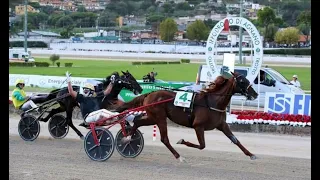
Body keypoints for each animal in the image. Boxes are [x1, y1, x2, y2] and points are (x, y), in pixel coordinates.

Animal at [115, 71, 260, 162]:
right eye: (242, 81)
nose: (255, 94)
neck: (213, 101)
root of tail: (149, 94)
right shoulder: (198, 126)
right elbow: (202, 145)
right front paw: (182, 141)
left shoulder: (221, 125)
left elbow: (235, 140)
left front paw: (251, 155)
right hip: (159, 118)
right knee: (164, 139)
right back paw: (179, 157)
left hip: (153, 117)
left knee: (137, 121)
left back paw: (127, 138)